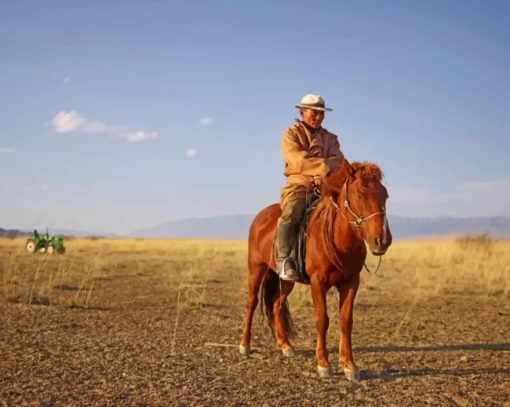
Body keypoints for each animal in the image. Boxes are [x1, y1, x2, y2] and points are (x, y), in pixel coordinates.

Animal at [241, 161, 392, 380]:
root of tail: (260, 217)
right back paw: (244, 345)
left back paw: (285, 345)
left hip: (287, 279)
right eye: (360, 195)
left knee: (277, 304)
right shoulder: (318, 282)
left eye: (385, 195)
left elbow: (346, 321)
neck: (338, 239)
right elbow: (322, 320)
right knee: (251, 303)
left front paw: (349, 365)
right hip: (256, 268)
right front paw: (323, 364)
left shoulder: (351, 282)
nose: (382, 240)